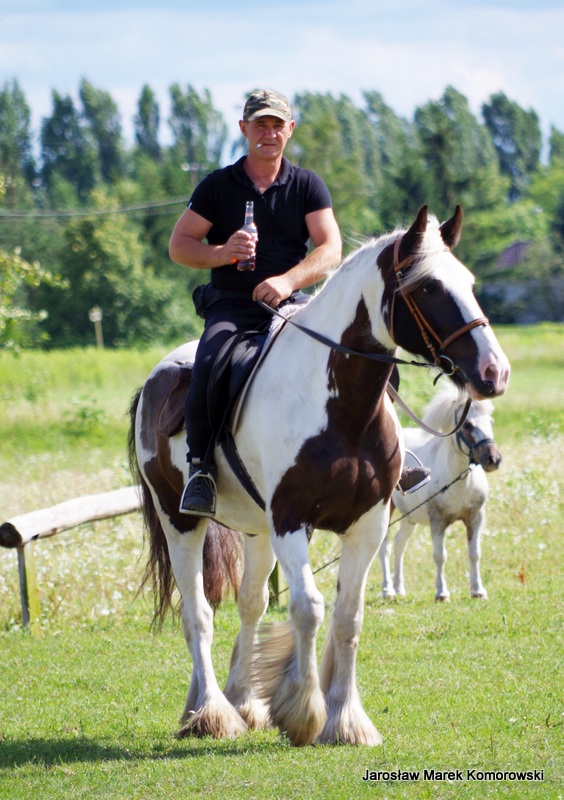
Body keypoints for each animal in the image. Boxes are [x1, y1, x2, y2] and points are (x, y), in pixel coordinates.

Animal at [379, 382, 502, 602]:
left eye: (491, 422)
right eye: (468, 425)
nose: (493, 459)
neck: (459, 482)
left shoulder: (475, 518)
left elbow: (474, 553)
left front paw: (478, 591)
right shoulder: (437, 521)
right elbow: (439, 556)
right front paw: (441, 593)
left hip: (409, 517)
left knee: (399, 544)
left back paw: (399, 588)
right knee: (384, 547)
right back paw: (388, 591)